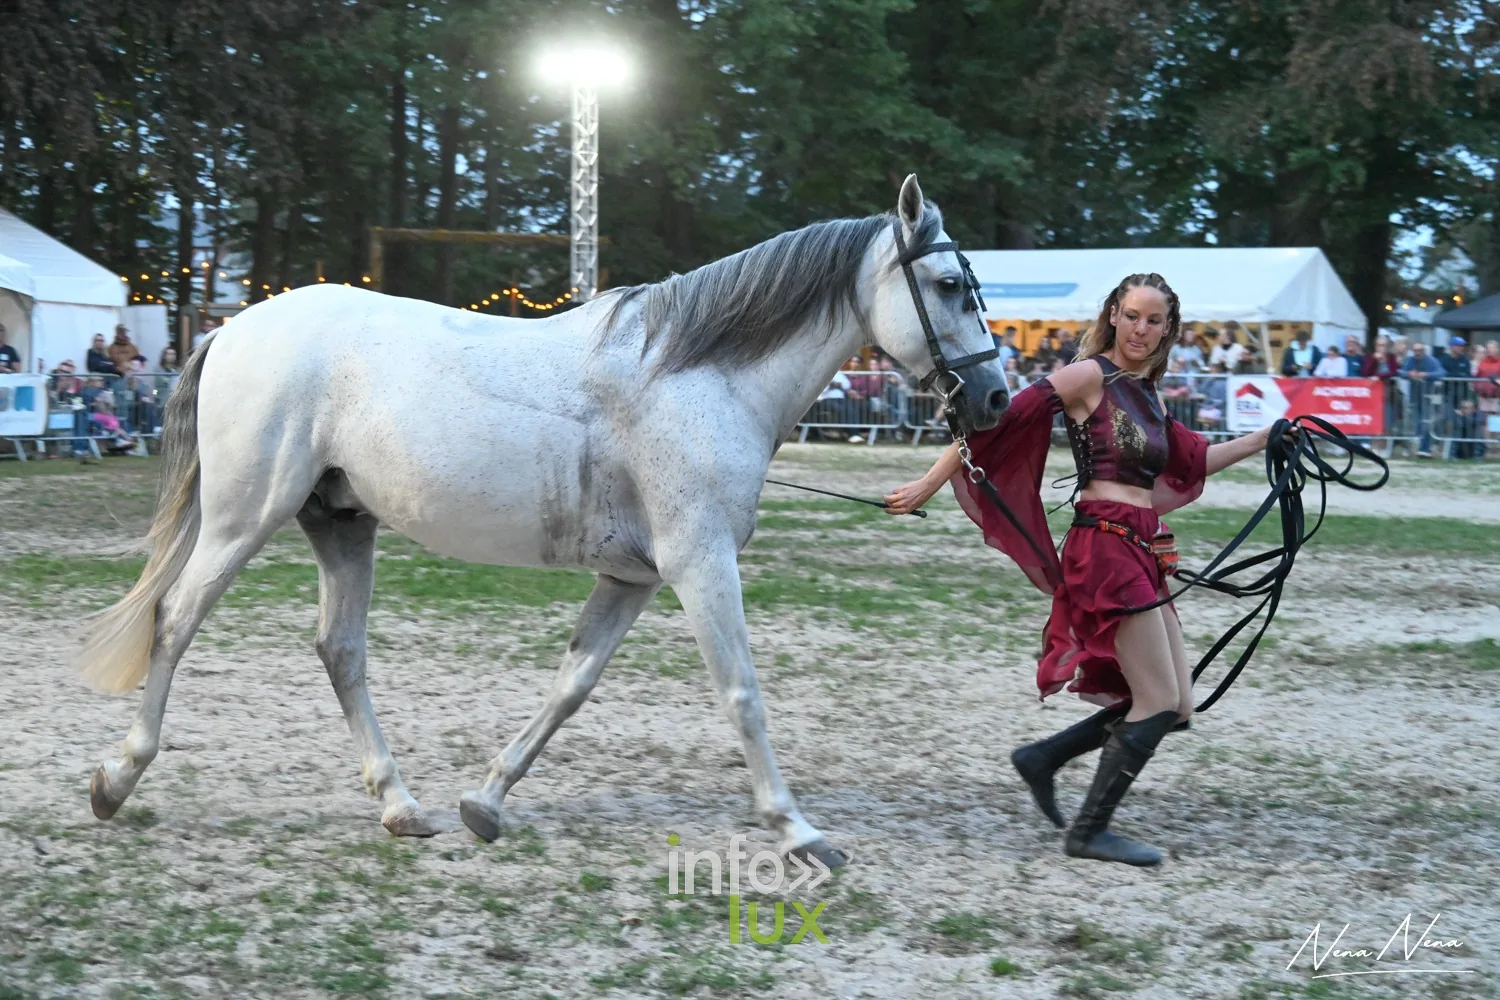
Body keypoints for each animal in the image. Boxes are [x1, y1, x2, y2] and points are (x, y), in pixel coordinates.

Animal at [77, 175, 1008, 867]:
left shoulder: (632, 578)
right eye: (950, 286)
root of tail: (233, 328)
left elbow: (571, 686)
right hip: (243, 518)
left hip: (341, 524)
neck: (697, 376)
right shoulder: (701, 563)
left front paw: (486, 801)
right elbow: (742, 693)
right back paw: (117, 778)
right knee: (175, 619)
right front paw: (798, 829)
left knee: (340, 652)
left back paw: (401, 805)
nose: (996, 398)